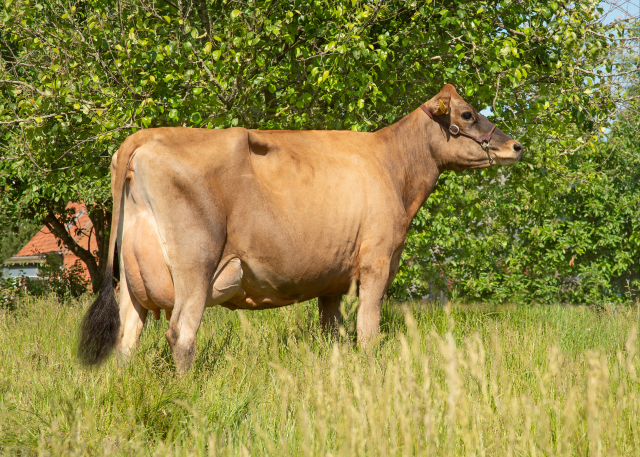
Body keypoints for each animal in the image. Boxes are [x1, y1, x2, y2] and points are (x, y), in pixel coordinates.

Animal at [79, 83, 520, 372]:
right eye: (467, 114)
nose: (515, 145)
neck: (392, 166)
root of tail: (146, 135)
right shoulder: (377, 263)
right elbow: (368, 333)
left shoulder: (331, 280)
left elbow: (333, 334)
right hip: (194, 269)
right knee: (181, 335)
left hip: (134, 278)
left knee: (126, 337)